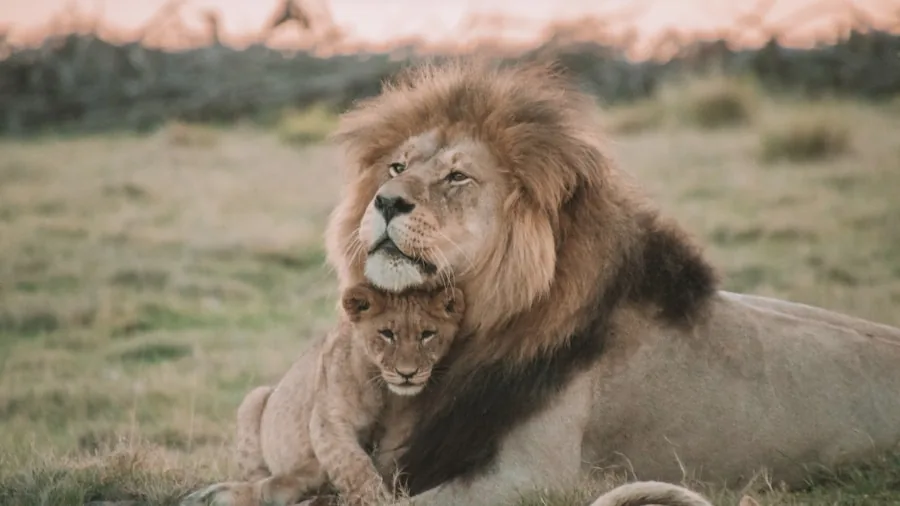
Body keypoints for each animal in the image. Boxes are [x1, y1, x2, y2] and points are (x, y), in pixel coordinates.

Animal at [180, 284, 464, 506]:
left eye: (427, 334)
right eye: (386, 334)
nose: (408, 373)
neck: (386, 392)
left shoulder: (403, 431)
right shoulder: (329, 421)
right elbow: (354, 465)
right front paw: (374, 499)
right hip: (254, 399)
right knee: (262, 477)